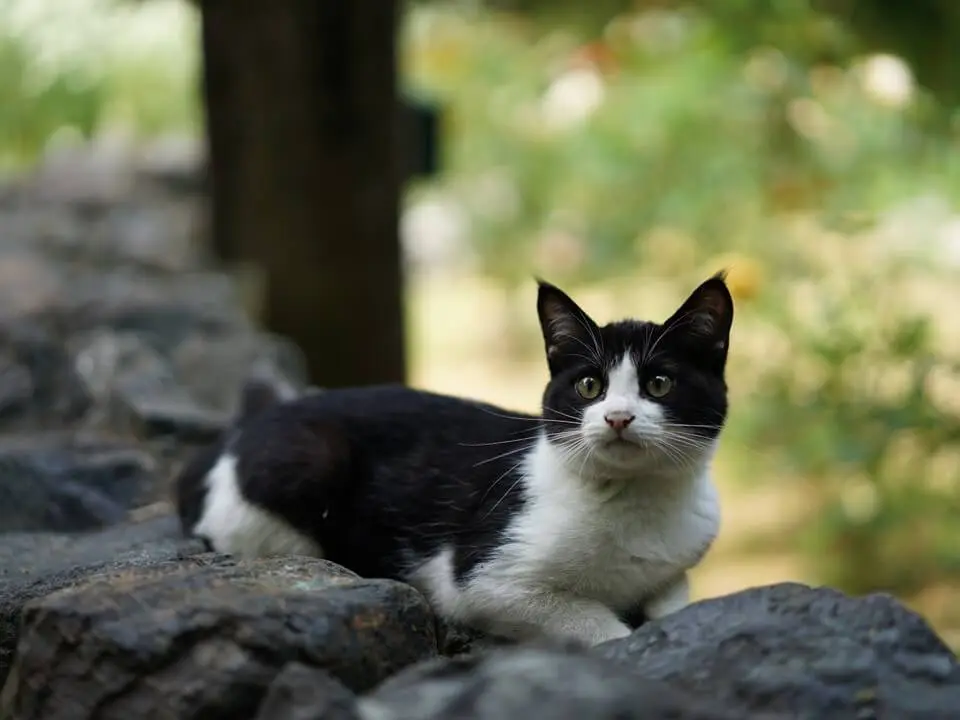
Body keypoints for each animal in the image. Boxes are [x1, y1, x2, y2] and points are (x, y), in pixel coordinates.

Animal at [176, 276, 736, 648]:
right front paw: (621, 632)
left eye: (659, 384)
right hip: (304, 466)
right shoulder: (482, 580)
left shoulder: (676, 566)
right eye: (588, 386)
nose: (618, 417)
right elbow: (597, 625)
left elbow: (674, 600)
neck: (634, 499)